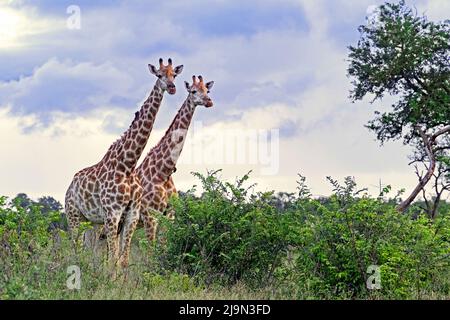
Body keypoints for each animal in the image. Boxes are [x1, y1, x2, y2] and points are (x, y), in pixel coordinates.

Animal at [64, 58, 184, 268]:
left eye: (174, 75)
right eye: (159, 74)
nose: (171, 87)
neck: (127, 164)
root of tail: (70, 187)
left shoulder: (131, 215)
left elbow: (123, 259)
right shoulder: (114, 213)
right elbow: (114, 259)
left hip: (93, 222)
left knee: (89, 251)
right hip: (74, 215)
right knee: (77, 251)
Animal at [134, 75, 214, 242]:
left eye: (207, 90)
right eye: (193, 91)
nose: (209, 101)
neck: (163, 172)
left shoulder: (169, 215)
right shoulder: (151, 215)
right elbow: (151, 248)